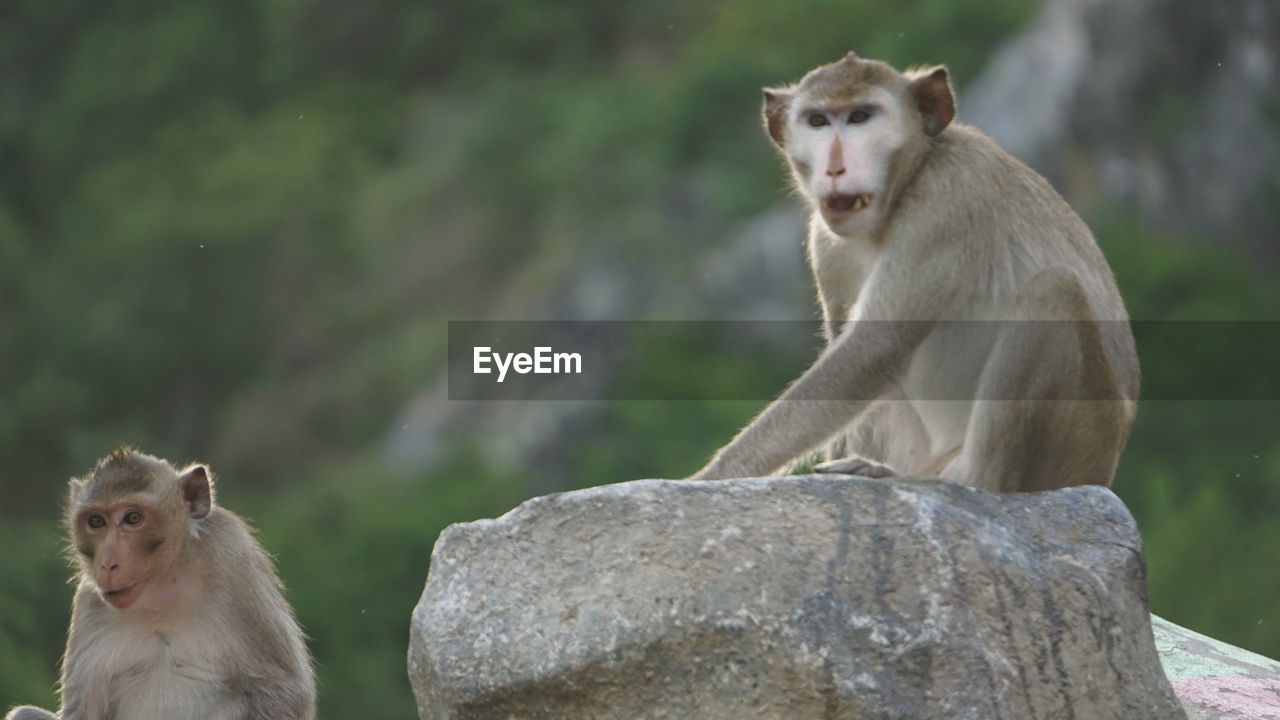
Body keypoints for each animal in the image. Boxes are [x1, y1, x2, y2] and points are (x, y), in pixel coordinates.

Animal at [6, 448, 316, 717]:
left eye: (133, 518)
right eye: (96, 521)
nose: (107, 564)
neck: (162, 588)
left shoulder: (235, 560)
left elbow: (283, 689)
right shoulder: (89, 601)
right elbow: (82, 712)